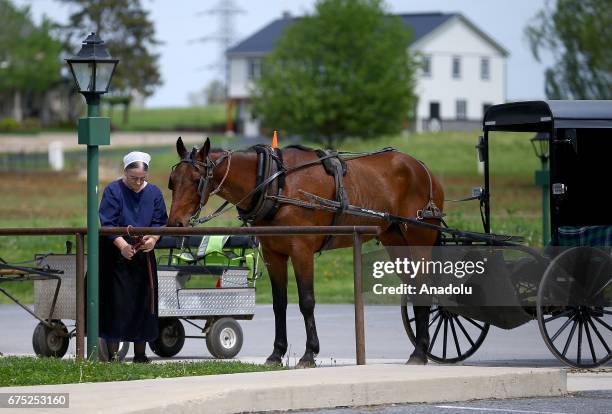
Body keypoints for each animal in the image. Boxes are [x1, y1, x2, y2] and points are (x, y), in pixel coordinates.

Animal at [167, 137, 444, 368]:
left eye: (196, 181)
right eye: (173, 182)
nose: (175, 224)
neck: (275, 184)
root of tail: (422, 168)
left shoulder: (302, 251)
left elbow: (306, 301)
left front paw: (309, 353)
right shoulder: (273, 254)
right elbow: (279, 303)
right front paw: (276, 353)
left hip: (419, 240)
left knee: (423, 288)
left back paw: (420, 352)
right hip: (395, 241)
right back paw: (420, 350)